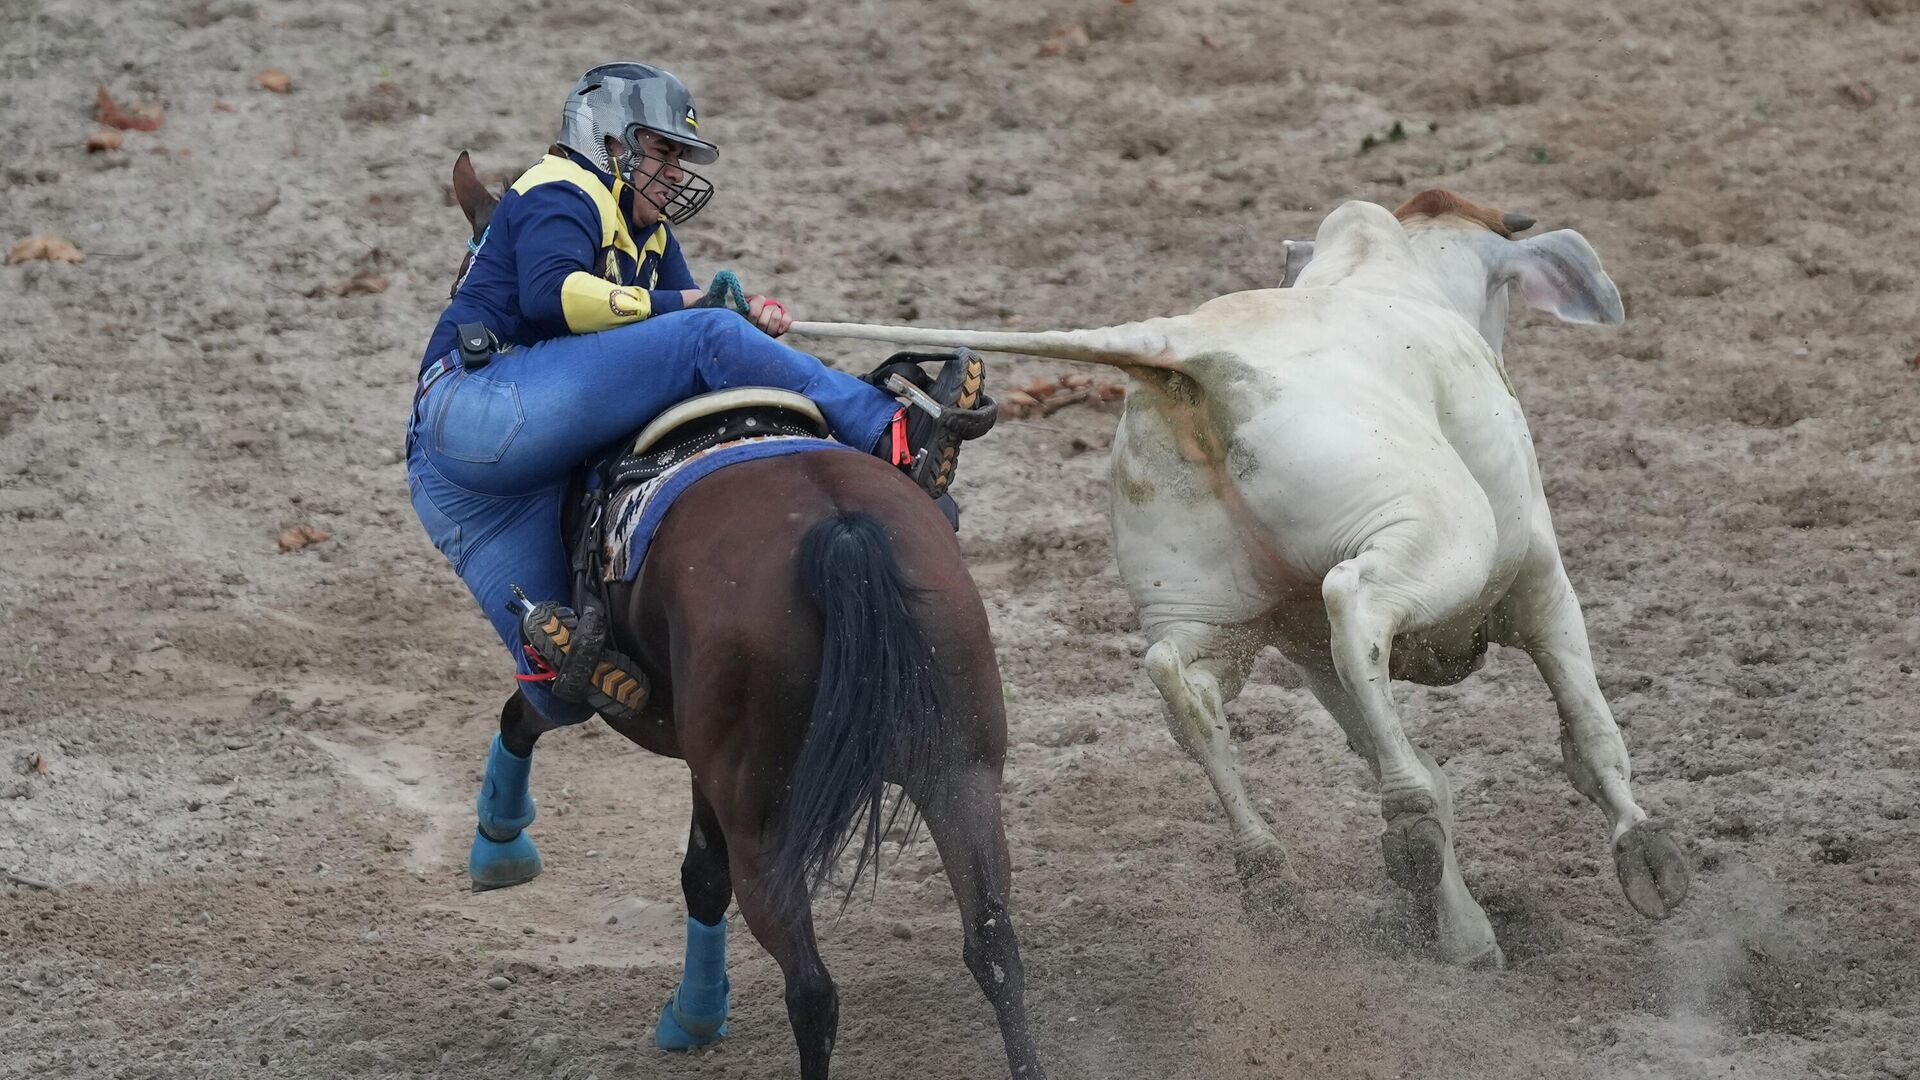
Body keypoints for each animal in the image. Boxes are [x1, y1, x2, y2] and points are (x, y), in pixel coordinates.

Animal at [445, 153, 1052, 1076]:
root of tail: (840, 527)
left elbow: (545, 715)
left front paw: (501, 839)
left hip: (766, 811)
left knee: (814, 989)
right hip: (962, 770)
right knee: (993, 944)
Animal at [794, 189, 1681, 960]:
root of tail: (1193, 350)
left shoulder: (1305, 651)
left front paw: (1459, 929)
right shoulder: (1541, 577)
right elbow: (1590, 735)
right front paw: (1645, 853)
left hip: (1212, 612)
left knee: (1182, 678)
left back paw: (1272, 869)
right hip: (1440, 540)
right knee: (1356, 607)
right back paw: (1406, 826)